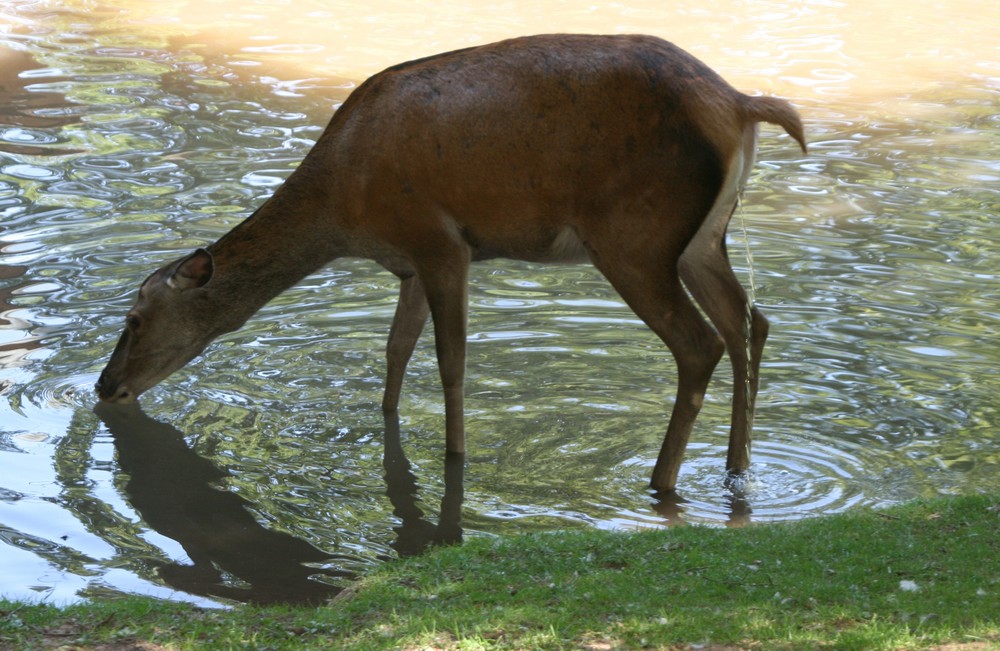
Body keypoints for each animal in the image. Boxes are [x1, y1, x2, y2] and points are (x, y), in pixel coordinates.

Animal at [95, 34, 804, 494]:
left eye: (134, 318)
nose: (105, 386)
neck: (345, 207)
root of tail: (740, 104)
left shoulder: (440, 242)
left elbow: (450, 362)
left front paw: (455, 460)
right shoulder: (408, 264)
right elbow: (395, 349)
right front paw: (384, 426)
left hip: (635, 236)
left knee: (700, 342)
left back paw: (661, 481)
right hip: (703, 237)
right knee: (751, 320)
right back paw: (737, 469)